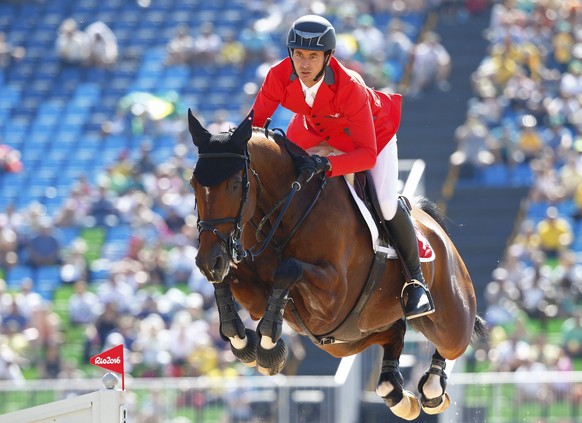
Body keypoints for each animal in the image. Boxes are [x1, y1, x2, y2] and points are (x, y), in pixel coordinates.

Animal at [188, 111, 488, 422]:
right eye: (193, 184)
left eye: (235, 185)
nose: (208, 261)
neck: (290, 208)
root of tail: (435, 230)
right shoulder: (258, 293)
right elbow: (228, 282)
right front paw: (243, 341)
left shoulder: (332, 298)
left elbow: (288, 269)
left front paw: (269, 349)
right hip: (348, 338)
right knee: (394, 332)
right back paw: (395, 391)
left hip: (448, 319)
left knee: (452, 343)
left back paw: (431, 388)